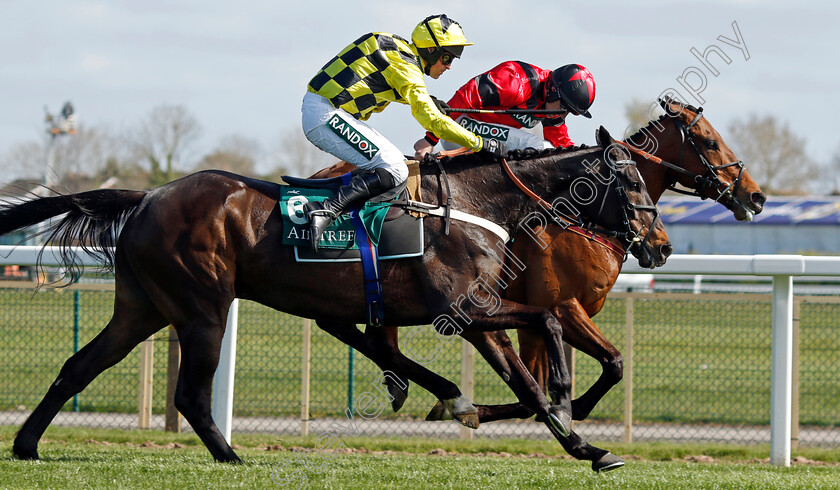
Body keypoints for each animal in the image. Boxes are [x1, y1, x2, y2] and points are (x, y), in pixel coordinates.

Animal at [1, 127, 668, 470]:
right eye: (628, 179)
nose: (658, 244)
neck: (475, 204)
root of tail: (146, 197)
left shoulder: (477, 317)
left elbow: (523, 381)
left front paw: (586, 446)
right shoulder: (465, 311)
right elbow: (549, 325)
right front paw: (564, 396)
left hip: (142, 305)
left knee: (79, 366)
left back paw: (27, 445)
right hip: (202, 307)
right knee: (189, 392)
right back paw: (230, 456)